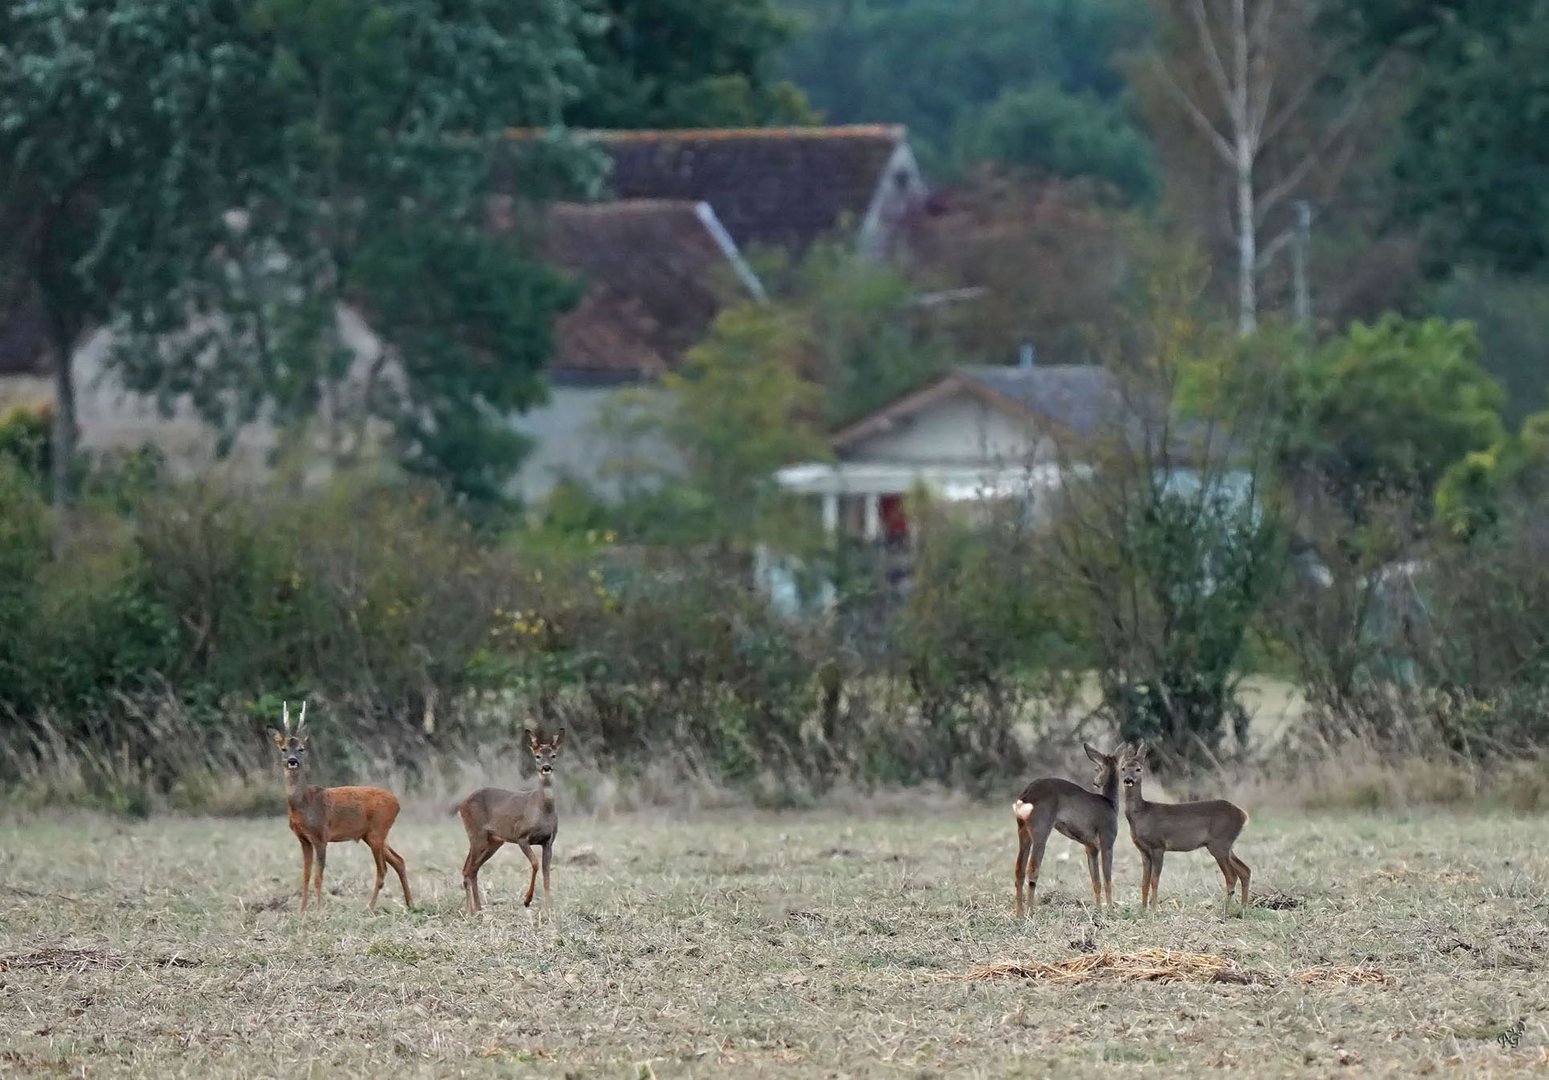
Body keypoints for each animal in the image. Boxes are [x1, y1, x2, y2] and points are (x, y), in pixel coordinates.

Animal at [266, 700, 412, 911]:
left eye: (301, 748)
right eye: (284, 749)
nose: (292, 761)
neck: (303, 804)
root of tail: (397, 802)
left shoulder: (321, 836)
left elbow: (318, 876)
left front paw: (318, 909)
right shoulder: (303, 839)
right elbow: (305, 876)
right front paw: (301, 910)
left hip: (378, 830)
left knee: (383, 869)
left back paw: (369, 906)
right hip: (372, 834)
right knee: (398, 860)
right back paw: (410, 904)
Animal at [455, 728, 566, 911]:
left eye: (554, 755)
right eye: (537, 755)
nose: (546, 767)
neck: (541, 809)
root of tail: (462, 804)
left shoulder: (549, 841)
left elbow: (546, 872)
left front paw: (549, 907)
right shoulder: (521, 836)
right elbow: (535, 864)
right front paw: (527, 900)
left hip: (494, 841)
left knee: (472, 869)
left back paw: (477, 908)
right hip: (476, 834)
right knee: (468, 869)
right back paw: (471, 910)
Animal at [1009, 746, 1121, 911]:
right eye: (1096, 768)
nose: (1095, 783)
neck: (1110, 804)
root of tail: (1026, 794)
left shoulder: (1091, 847)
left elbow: (1096, 881)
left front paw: (1099, 910)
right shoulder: (1107, 841)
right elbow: (1107, 880)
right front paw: (1110, 910)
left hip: (1023, 831)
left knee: (1019, 869)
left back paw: (1020, 914)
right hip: (1041, 831)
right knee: (1033, 868)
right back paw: (1030, 911)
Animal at [1115, 740, 1245, 911]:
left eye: (1138, 768)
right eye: (1123, 768)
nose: (1128, 779)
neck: (1142, 814)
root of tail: (1243, 815)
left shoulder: (1158, 846)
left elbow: (1154, 881)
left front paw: (1153, 909)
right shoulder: (1143, 850)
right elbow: (1144, 883)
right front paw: (1143, 910)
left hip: (1219, 843)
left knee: (1232, 876)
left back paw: (1225, 909)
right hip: (1227, 845)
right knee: (1245, 871)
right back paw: (1244, 907)